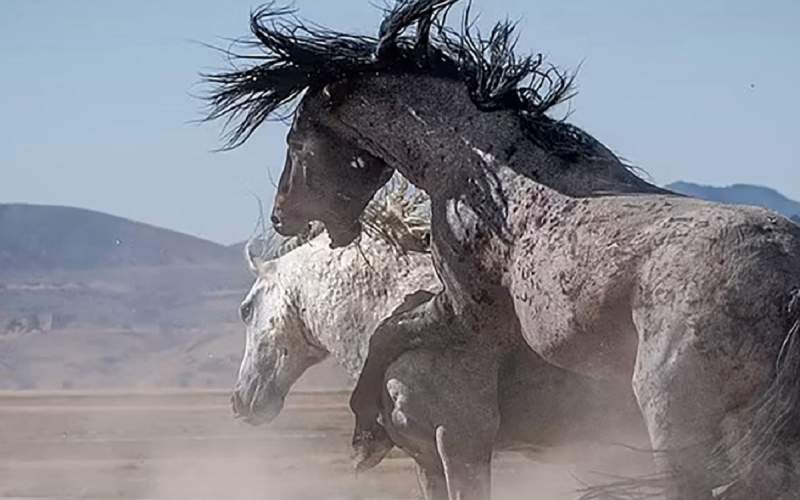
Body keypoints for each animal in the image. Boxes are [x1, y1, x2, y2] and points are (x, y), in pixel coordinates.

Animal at [202, 1, 800, 498]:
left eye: (295, 142)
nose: (281, 215)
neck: (485, 171)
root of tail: (787, 276)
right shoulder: (428, 455)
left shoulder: (463, 387)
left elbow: (389, 334)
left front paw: (363, 431)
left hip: (674, 423)